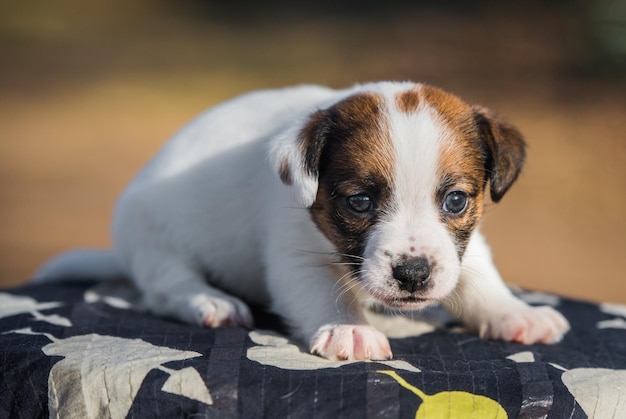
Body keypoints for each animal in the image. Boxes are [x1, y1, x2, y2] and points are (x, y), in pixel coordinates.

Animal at [35, 81, 572, 360]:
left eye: (456, 201)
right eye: (360, 202)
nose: (413, 274)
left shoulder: (464, 246)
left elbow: (480, 279)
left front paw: (515, 312)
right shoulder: (294, 259)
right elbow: (322, 292)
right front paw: (348, 328)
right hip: (157, 241)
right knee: (168, 286)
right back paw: (210, 301)